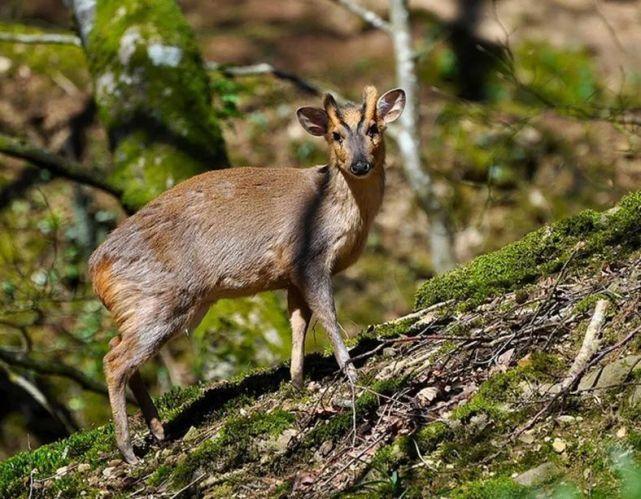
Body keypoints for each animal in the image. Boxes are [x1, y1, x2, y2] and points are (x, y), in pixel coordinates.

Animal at [89, 86, 404, 464]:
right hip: (160, 300)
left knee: (117, 347)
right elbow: (328, 316)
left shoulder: (290, 274)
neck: (339, 214)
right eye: (335, 135)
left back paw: (159, 430)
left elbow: (298, 323)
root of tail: (95, 270)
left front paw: (297, 381)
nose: (359, 165)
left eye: (374, 128)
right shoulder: (308, 258)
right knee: (114, 359)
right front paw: (351, 372)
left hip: (153, 305)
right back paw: (129, 450)